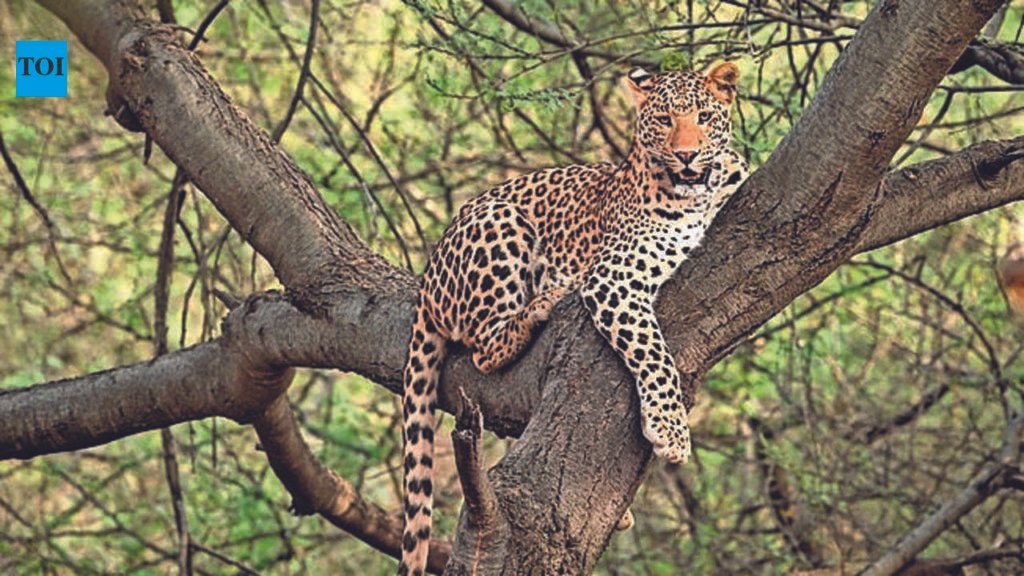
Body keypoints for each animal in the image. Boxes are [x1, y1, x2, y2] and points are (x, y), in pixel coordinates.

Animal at [398, 62, 749, 576]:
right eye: (664, 119)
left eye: (704, 117)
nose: (686, 155)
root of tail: (427, 277)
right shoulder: (612, 278)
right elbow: (655, 354)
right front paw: (670, 430)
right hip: (502, 222)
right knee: (483, 346)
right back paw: (545, 301)